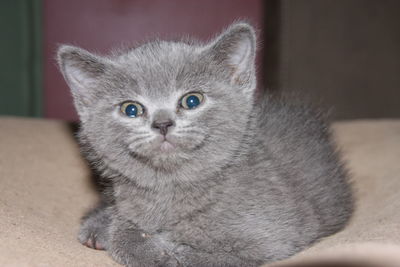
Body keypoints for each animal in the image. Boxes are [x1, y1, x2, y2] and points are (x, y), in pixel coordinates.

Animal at [57, 23, 352, 267]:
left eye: (192, 100)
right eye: (131, 109)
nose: (162, 123)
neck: (172, 189)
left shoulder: (276, 236)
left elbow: (215, 257)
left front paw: (171, 252)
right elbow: (123, 234)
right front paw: (142, 243)